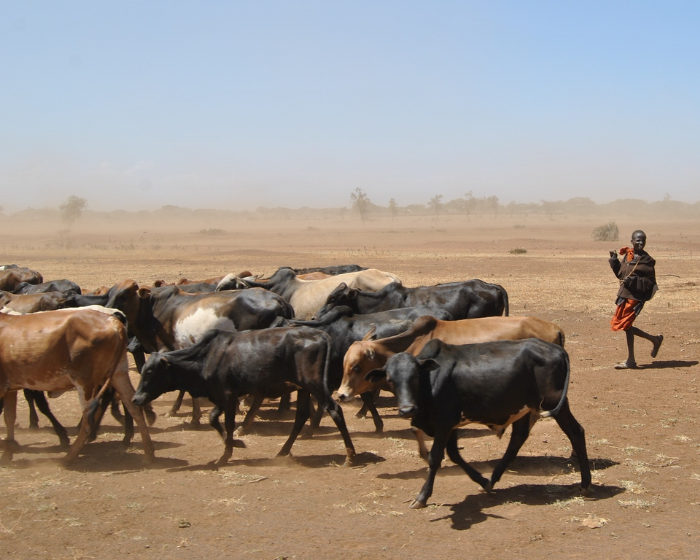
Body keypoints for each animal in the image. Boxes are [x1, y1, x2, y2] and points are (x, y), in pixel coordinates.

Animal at [0, 306, 154, 464]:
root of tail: (113, 321)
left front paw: (10, 446)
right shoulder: (10, 388)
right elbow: (9, 417)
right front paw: (8, 451)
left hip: (85, 381)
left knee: (91, 414)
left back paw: (69, 457)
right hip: (118, 373)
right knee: (132, 405)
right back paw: (148, 454)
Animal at [133, 326, 356, 466]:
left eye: (150, 371)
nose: (136, 399)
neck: (206, 356)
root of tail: (320, 335)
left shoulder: (228, 396)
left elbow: (228, 424)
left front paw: (226, 455)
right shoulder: (222, 397)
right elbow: (213, 418)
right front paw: (235, 444)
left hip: (315, 385)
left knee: (334, 410)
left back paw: (350, 456)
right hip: (303, 388)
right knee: (301, 416)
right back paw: (282, 452)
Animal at [366, 336, 592, 508]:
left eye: (414, 376)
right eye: (390, 379)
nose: (407, 409)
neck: (430, 381)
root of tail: (557, 349)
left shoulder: (444, 423)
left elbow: (435, 458)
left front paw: (422, 497)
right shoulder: (451, 426)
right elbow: (454, 455)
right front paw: (483, 481)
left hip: (556, 404)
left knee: (576, 432)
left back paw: (586, 483)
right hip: (524, 409)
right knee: (517, 439)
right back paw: (492, 479)